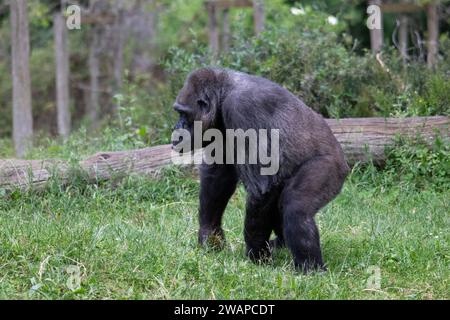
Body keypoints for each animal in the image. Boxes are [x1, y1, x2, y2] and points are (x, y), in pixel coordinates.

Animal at [171, 67, 350, 272]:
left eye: (184, 114)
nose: (177, 128)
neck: (224, 91)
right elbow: (218, 177)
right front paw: (209, 236)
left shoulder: (242, 109)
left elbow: (261, 188)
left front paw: (257, 255)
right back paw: (282, 245)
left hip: (330, 167)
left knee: (296, 207)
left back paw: (311, 269)